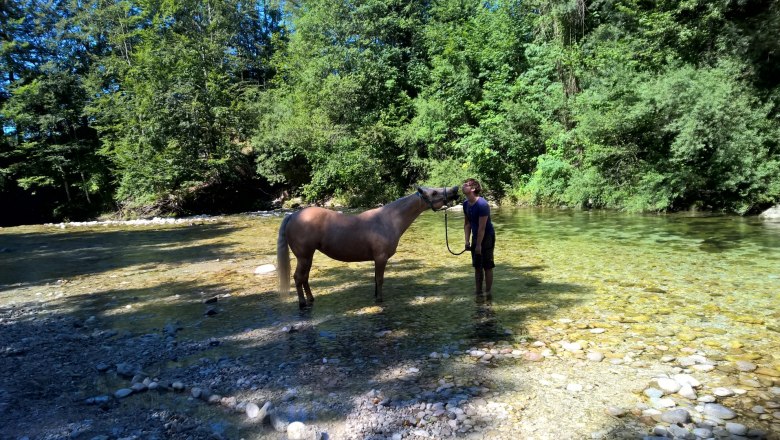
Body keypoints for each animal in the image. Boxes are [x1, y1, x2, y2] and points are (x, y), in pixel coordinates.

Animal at [276, 187, 460, 308]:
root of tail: (293, 215)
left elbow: (375, 279)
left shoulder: (377, 259)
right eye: (434, 192)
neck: (388, 219)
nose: (455, 190)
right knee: (298, 277)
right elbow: (380, 279)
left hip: (308, 256)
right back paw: (302, 303)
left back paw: (311, 299)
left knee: (305, 278)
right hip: (304, 256)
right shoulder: (381, 257)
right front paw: (379, 300)